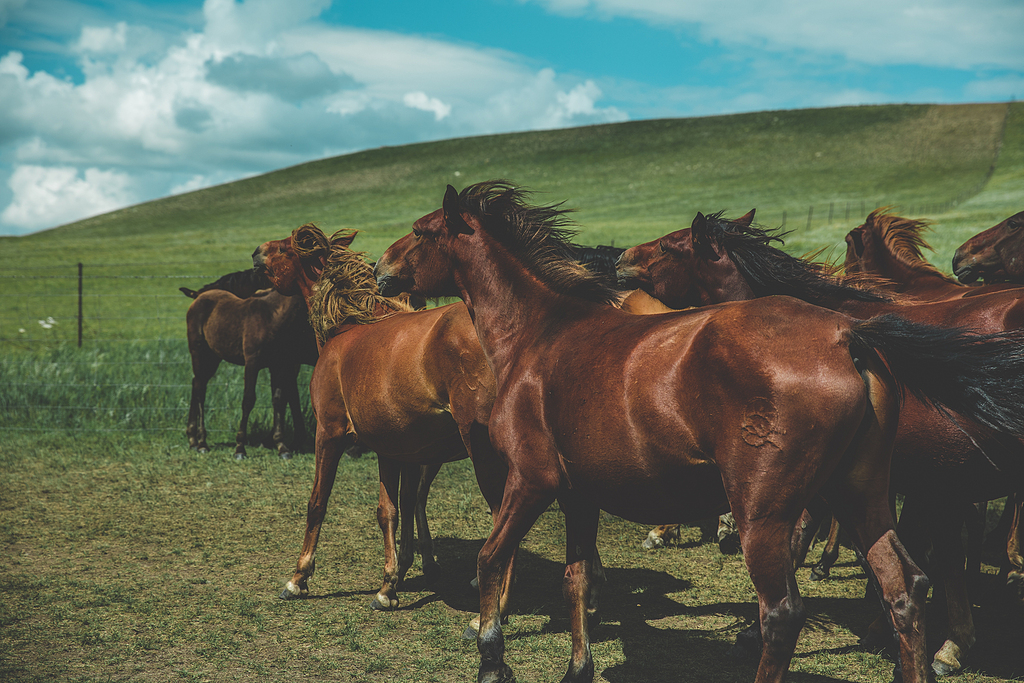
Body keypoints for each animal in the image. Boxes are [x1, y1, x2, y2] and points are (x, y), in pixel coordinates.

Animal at [182, 272, 313, 458]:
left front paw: (282, 447)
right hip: (199, 353)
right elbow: (249, 400)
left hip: (214, 357)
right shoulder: (252, 362)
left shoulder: (280, 364)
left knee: (198, 384)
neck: (273, 316)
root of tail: (199, 298)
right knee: (200, 391)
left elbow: (279, 400)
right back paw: (201, 443)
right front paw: (240, 449)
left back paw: (195, 440)